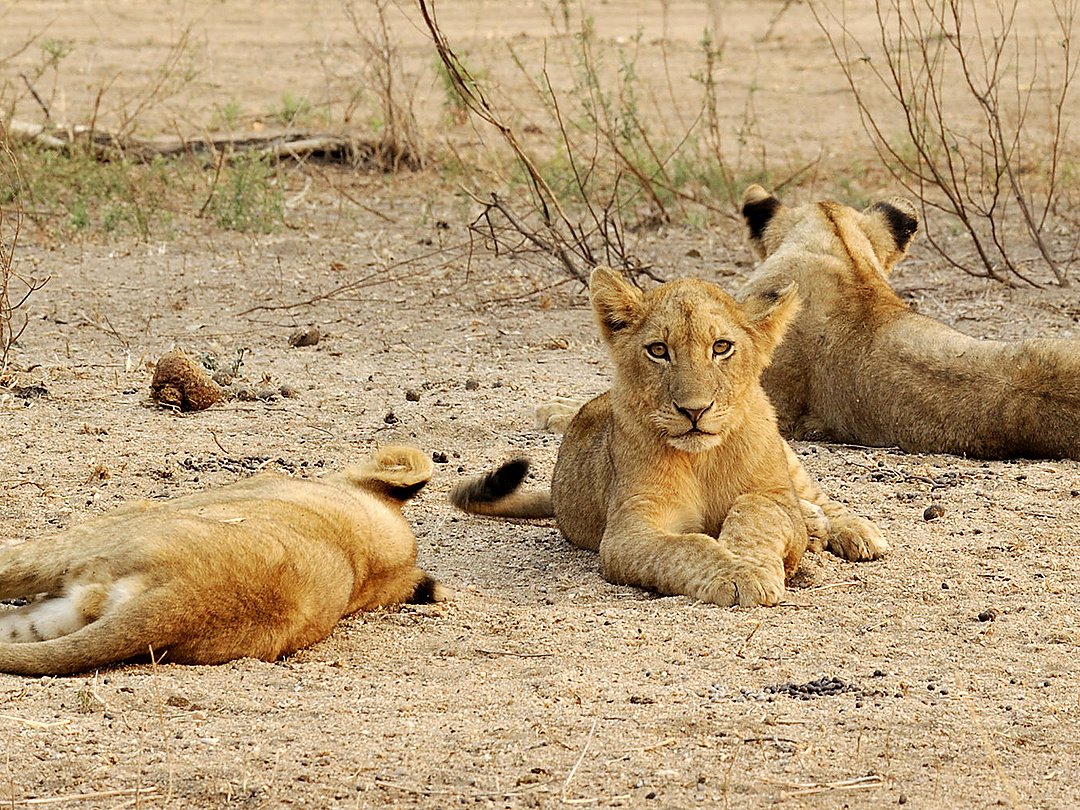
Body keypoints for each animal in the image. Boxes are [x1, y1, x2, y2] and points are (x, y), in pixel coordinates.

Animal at [451, 267, 887, 608]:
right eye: (659, 350)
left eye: (721, 347)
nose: (694, 411)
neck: (703, 459)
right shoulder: (630, 528)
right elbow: (685, 547)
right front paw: (738, 573)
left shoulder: (774, 496)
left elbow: (755, 511)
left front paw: (756, 564)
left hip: (789, 459)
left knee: (818, 497)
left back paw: (853, 531)